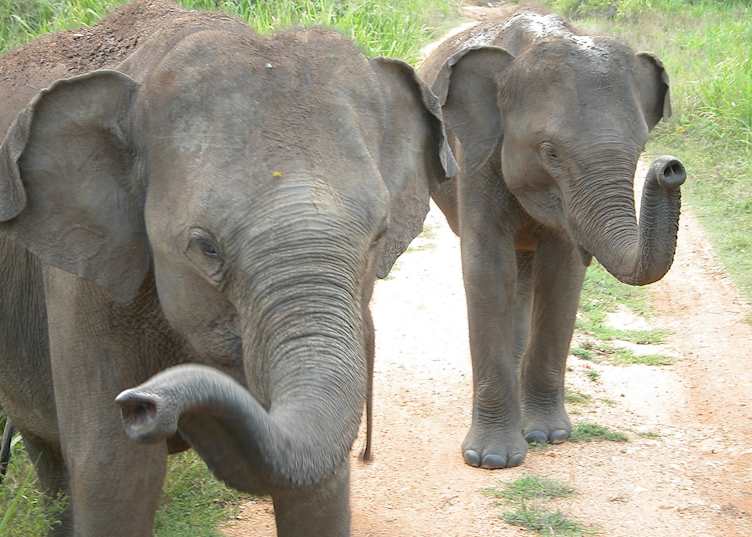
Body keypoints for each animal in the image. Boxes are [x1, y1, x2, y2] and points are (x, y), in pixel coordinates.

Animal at [0, 1, 455, 535]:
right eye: (206, 248)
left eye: (379, 235)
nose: (141, 403)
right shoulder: (83, 284)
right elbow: (116, 476)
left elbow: (317, 487)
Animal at [419, 8, 686, 470]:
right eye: (551, 152)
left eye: (639, 149)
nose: (670, 168)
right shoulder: (477, 155)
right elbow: (486, 267)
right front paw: (491, 460)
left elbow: (561, 274)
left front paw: (549, 436)